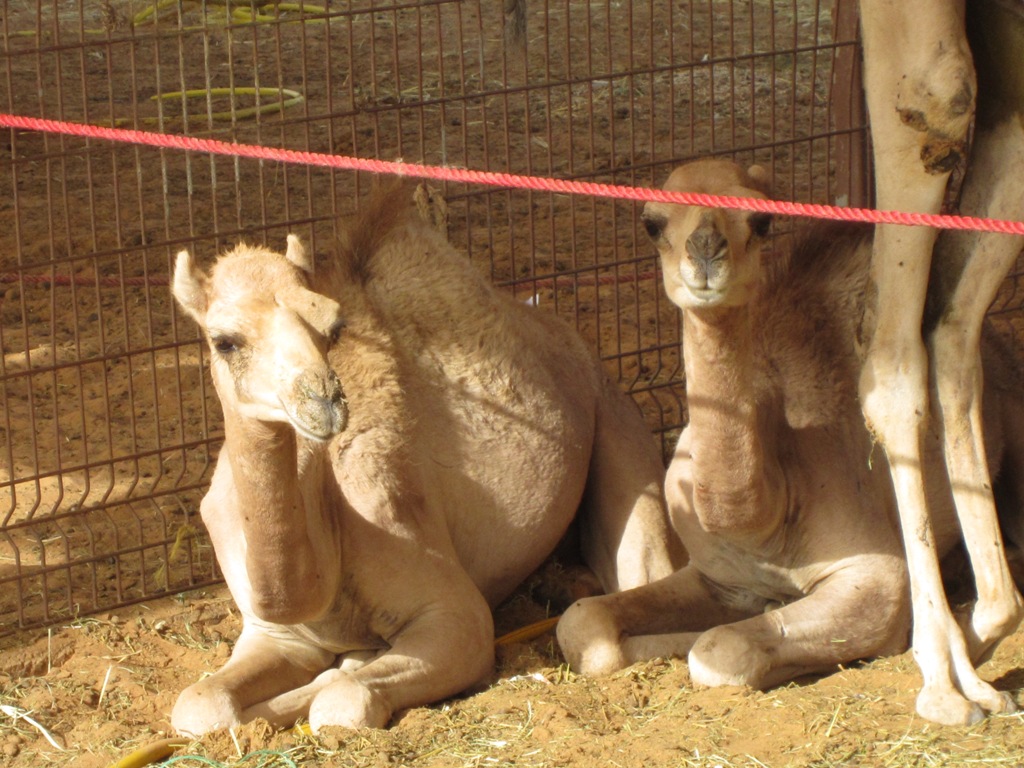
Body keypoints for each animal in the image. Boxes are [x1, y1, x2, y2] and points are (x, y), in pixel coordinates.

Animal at [167, 183, 679, 737]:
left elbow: (341, 700)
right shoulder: (273, 631)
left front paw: (337, 676)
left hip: (614, 414)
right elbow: (198, 703)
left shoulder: (456, 613)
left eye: (332, 326)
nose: (324, 401)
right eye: (225, 341)